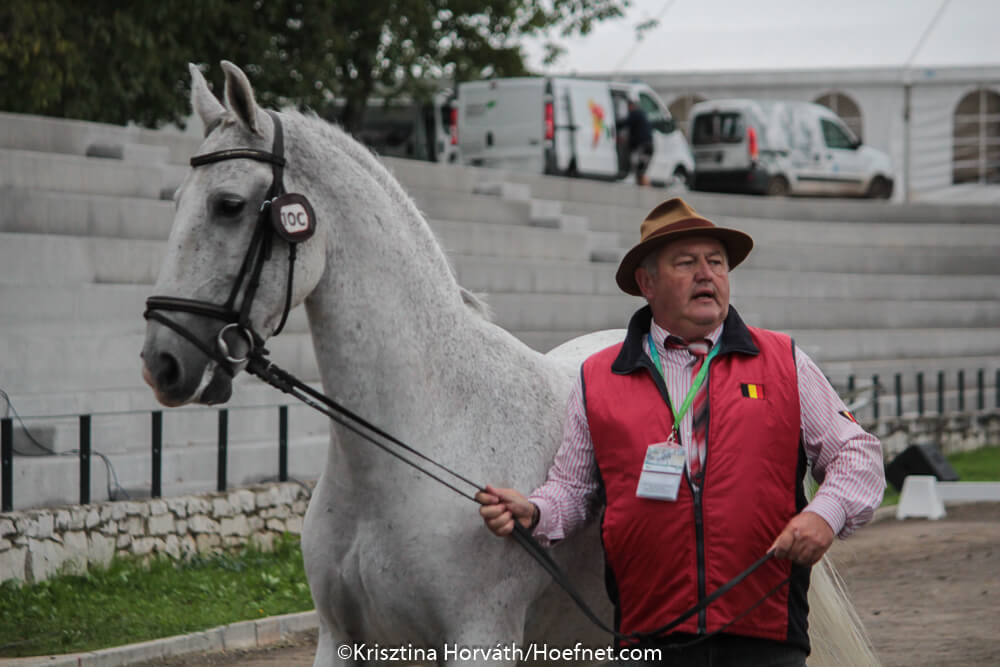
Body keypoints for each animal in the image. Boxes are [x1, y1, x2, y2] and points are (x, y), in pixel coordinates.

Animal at [141, 60, 876, 664]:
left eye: (229, 205)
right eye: (174, 203)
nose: (161, 361)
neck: (420, 441)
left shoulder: (480, 640)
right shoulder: (341, 640)